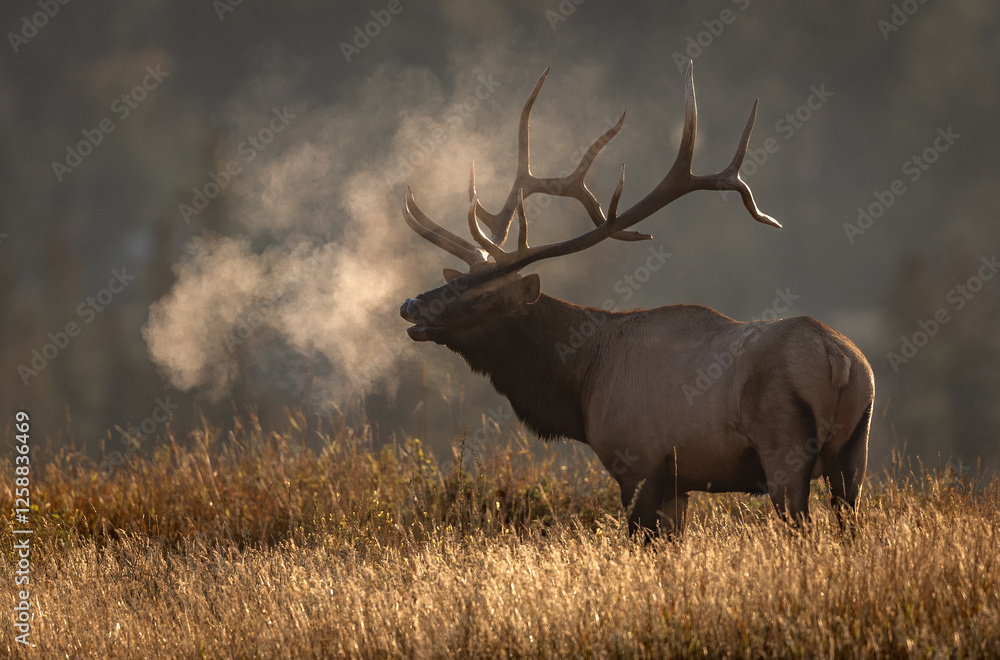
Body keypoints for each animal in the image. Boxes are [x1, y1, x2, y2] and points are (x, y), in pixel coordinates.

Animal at [398, 62, 874, 536]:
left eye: (483, 296)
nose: (411, 305)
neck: (580, 382)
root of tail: (840, 361)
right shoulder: (678, 482)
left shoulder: (639, 463)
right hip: (855, 451)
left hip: (783, 446)